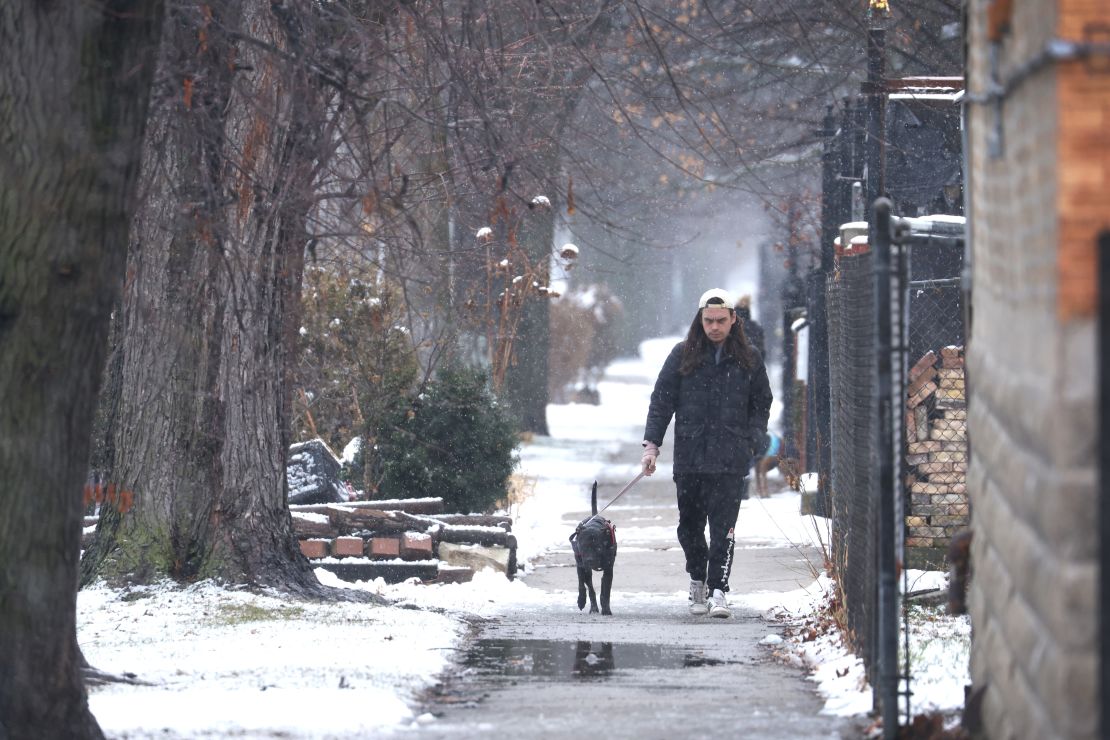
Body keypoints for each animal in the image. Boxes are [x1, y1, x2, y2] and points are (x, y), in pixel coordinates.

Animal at [572, 483, 617, 616]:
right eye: (583, 546)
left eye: (599, 548)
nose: (590, 560)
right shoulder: (582, 566)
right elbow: (584, 586)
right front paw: (581, 601)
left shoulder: (608, 569)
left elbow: (605, 592)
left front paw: (606, 609)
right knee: (587, 586)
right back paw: (590, 606)